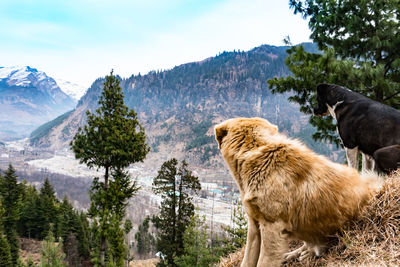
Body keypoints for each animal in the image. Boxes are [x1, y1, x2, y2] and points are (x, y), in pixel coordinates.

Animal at [216, 118, 382, 266]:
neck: (257, 150)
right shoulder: (254, 226)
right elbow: (247, 260)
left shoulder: (272, 229)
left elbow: (263, 262)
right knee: (308, 245)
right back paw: (295, 254)